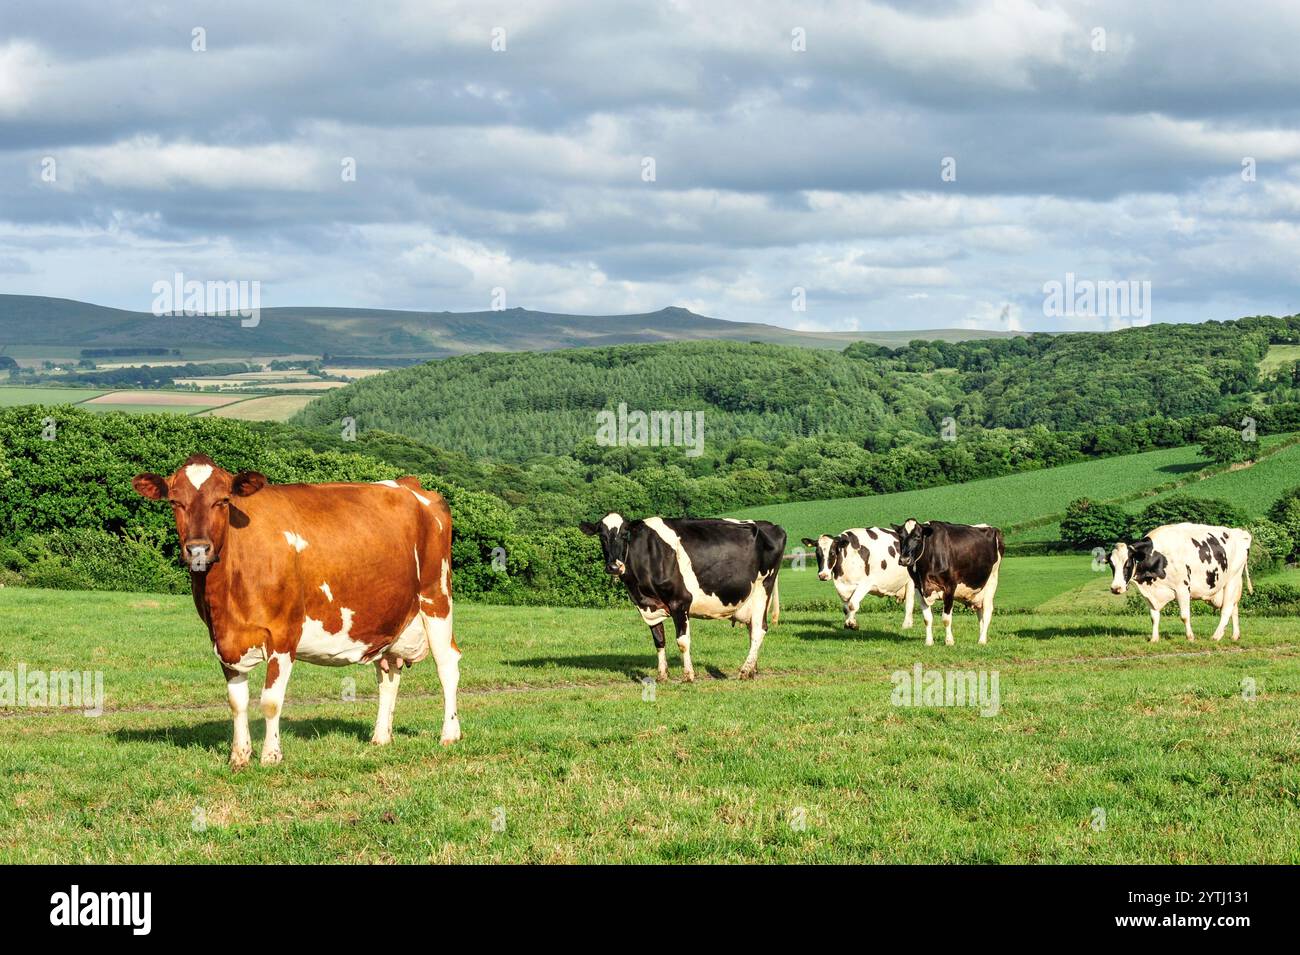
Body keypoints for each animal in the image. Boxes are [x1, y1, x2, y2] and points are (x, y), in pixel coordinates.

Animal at [132, 454, 461, 769]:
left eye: (223, 500)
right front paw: (239, 756)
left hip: (436, 599)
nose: (198, 550)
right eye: (175, 501)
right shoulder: (224, 639)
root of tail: (410, 484)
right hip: (390, 619)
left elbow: (270, 701)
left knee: (447, 664)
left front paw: (270, 756)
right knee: (389, 674)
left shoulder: (283, 635)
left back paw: (449, 734)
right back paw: (381, 737)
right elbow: (237, 702)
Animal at [579, 514, 785, 681]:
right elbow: (659, 640)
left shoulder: (680, 601)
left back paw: (744, 671)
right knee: (752, 631)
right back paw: (752, 671)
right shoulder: (649, 606)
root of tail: (770, 525)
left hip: (763, 588)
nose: (614, 567)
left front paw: (688, 676)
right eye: (602, 536)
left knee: (759, 629)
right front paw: (662, 675)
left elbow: (682, 641)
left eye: (624, 534)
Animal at [1108, 523, 1253, 642]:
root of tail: (1239, 532)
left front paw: (1190, 637)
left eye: (1127, 564)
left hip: (1232, 578)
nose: (1116, 588)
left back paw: (1216, 636)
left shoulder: (1182, 588)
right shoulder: (1150, 594)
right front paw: (1154, 639)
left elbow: (1184, 616)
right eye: (1111, 565)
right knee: (1234, 607)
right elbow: (1154, 617)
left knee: (1227, 609)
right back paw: (1235, 635)